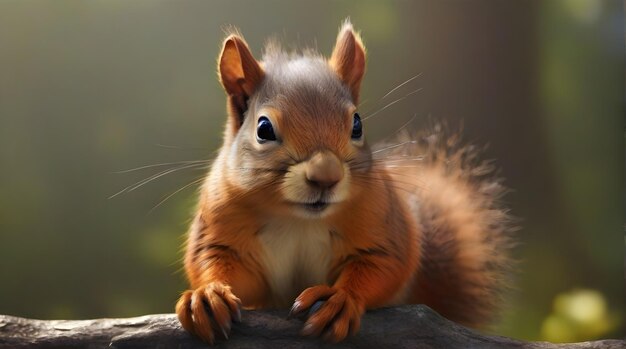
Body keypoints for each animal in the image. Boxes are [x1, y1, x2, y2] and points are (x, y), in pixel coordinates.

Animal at [174, 20, 512, 344]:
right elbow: (218, 263)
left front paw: (339, 298)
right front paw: (208, 295)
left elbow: (383, 265)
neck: (298, 220)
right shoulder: (220, 225)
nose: (326, 176)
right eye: (263, 129)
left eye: (357, 124)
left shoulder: (381, 224)